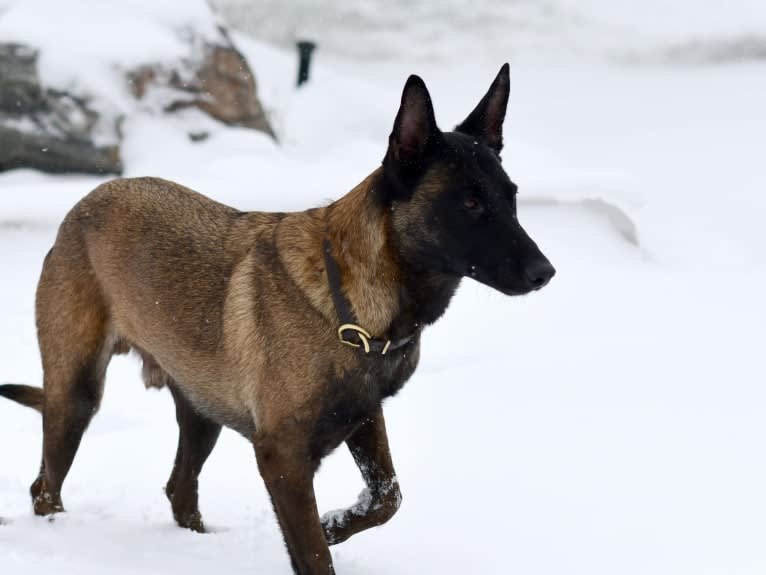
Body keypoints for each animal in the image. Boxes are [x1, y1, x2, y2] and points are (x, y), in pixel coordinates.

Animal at [1, 65, 560, 572]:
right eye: (470, 203)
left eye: (510, 197)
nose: (545, 272)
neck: (349, 301)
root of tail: (84, 202)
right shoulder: (283, 458)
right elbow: (313, 552)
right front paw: (324, 536)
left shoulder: (363, 416)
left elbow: (387, 495)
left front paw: (336, 523)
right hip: (77, 395)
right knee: (46, 487)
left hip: (202, 412)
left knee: (179, 489)